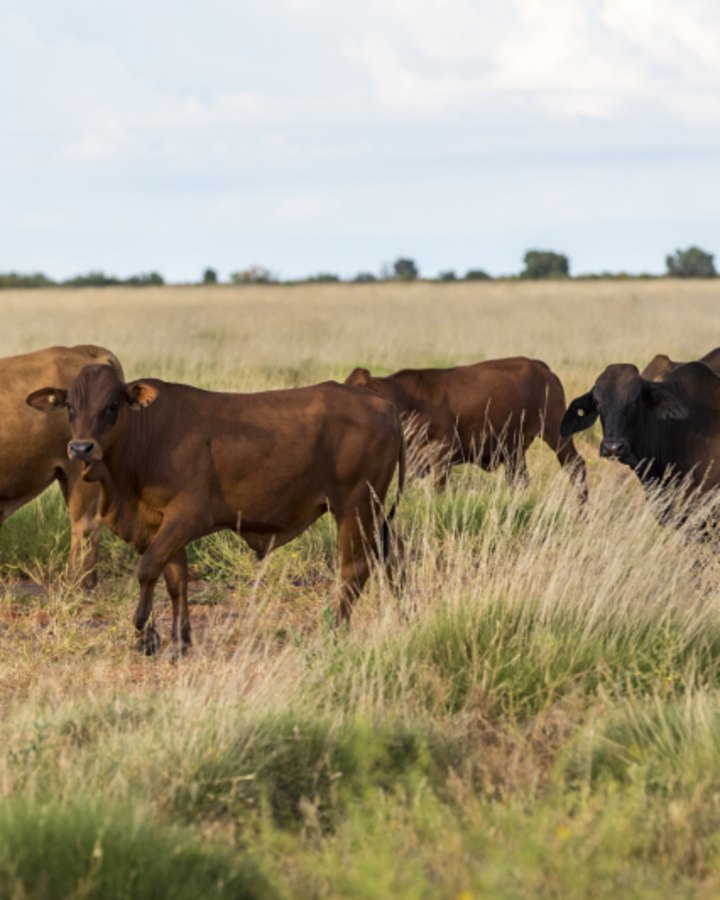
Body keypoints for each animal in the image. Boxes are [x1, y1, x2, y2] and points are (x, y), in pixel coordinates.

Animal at [27, 365, 406, 653]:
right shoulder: (160, 525)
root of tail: (382, 405)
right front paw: (179, 641)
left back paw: (335, 632)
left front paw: (143, 631)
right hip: (375, 512)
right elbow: (175, 580)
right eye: (70, 407)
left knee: (355, 569)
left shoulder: (186, 517)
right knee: (393, 556)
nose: (81, 448)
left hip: (355, 507)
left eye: (111, 405)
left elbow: (147, 570)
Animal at [345, 357, 587, 501]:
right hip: (513, 450)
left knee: (576, 467)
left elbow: (439, 490)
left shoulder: (442, 456)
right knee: (520, 480)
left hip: (556, 433)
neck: (407, 401)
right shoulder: (415, 462)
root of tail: (541, 367)